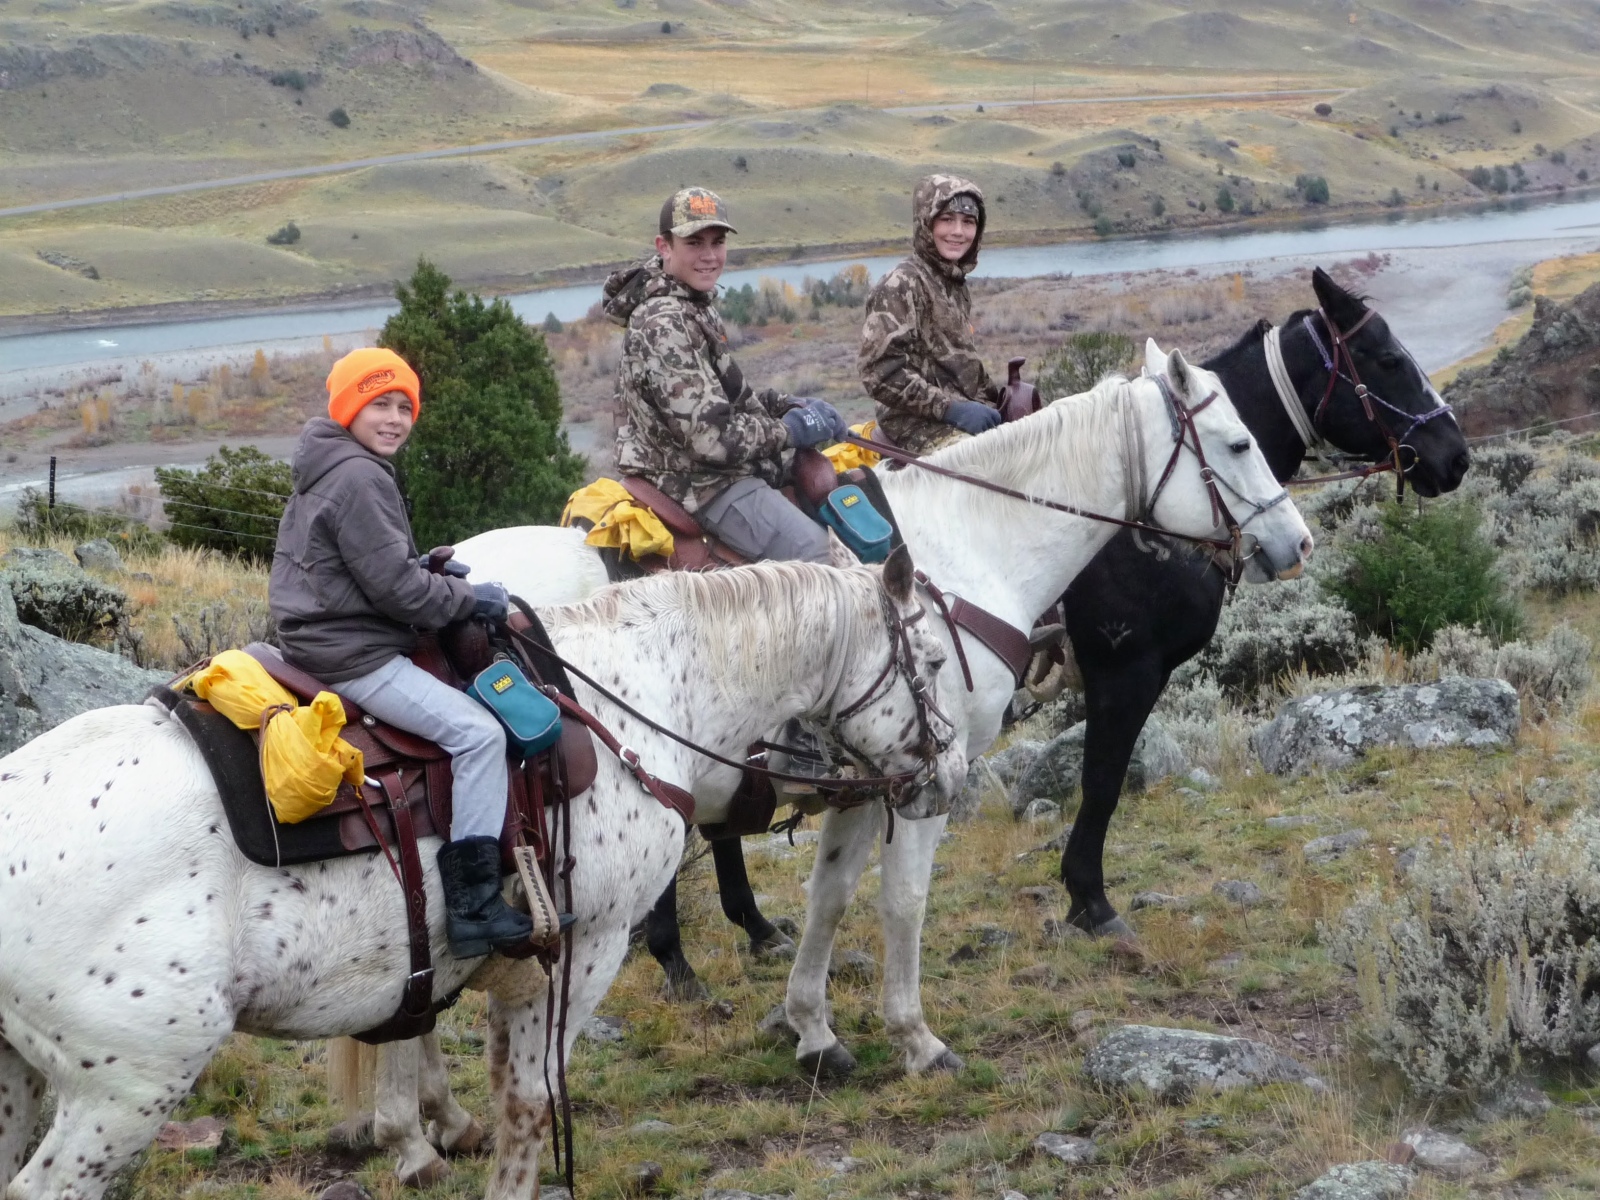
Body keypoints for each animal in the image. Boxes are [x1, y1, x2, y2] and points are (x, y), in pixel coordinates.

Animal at [0, 552, 964, 1200]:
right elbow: (531, 1105)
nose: (949, 777)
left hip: (21, 1077)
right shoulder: (586, 948)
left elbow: (497, 1087)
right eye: (934, 663)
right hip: (125, 1090)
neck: (625, 701)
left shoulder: (508, 964)